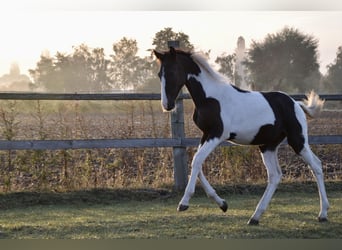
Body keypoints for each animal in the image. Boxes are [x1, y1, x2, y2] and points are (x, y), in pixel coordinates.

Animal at [154, 46, 330, 225]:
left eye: (172, 72)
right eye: (160, 74)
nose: (167, 105)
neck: (210, 97)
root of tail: (296, 104)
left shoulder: (217, 134)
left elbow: (197, 160)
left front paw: (184, 203)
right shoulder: (206, 134)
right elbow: (197, 163)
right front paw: (222, 204)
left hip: (298, 141)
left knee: (316, 166)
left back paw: (322, 213)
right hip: (267, 146)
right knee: (275, 175)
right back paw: (255, 217)